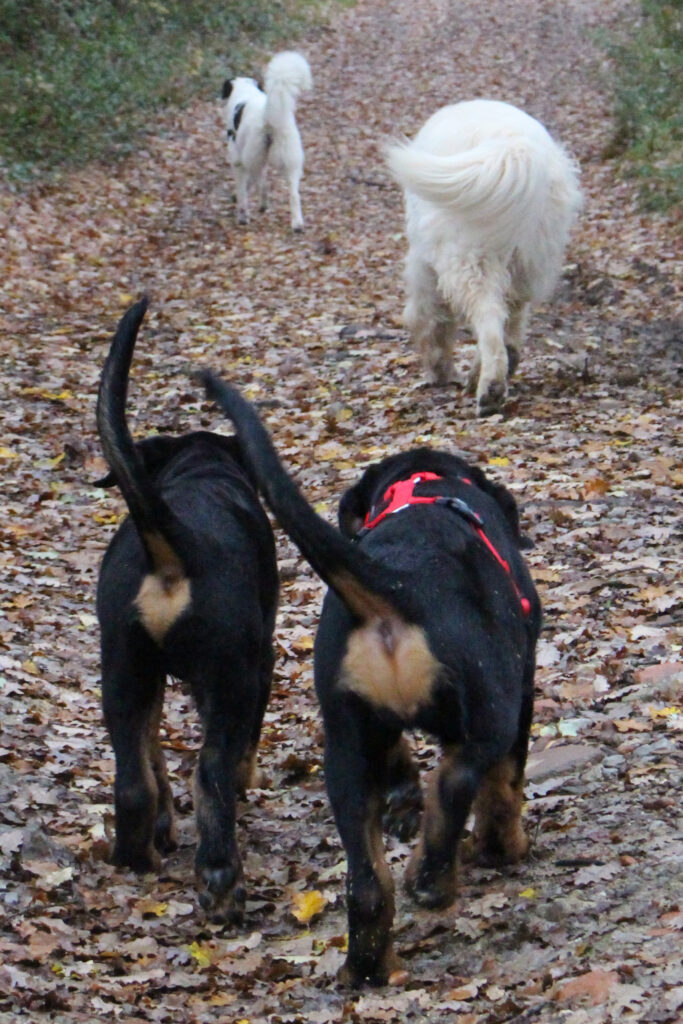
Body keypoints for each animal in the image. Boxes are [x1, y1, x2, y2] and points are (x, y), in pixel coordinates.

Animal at [95, 299, 278, 925]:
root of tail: (173, 543)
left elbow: (151, 748)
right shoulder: (256, 666)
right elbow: (238, 756)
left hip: (121, 667)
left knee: (133, 782)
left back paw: (139, 855)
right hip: (232, 677)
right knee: (210, 775)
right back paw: (222, 883)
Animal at [200, 370, 540, 983]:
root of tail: (396, 581)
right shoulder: (521, 691)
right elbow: (505, 783)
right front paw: (504, 845)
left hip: (347, 748)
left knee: (366, 882)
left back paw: (367, 964)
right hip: (492, 702)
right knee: (456, 782)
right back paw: (431, 879)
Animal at [222, 50, 313, 231]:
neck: (245, 91)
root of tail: (268, 118)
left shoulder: (237, 160)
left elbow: (243, 189)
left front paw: (242, 211)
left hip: (253, 156)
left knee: (261, 184)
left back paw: (252, 211)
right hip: (290, 160)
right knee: (294, 194)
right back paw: (297, 224)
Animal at [385, 96, 581, 415]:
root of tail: (515, 146)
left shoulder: (423, 265)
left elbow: (432, 320)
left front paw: (440, 369)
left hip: (468, 261)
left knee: (488, 320)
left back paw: (490, 388)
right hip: (527, 262)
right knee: (507, 323)